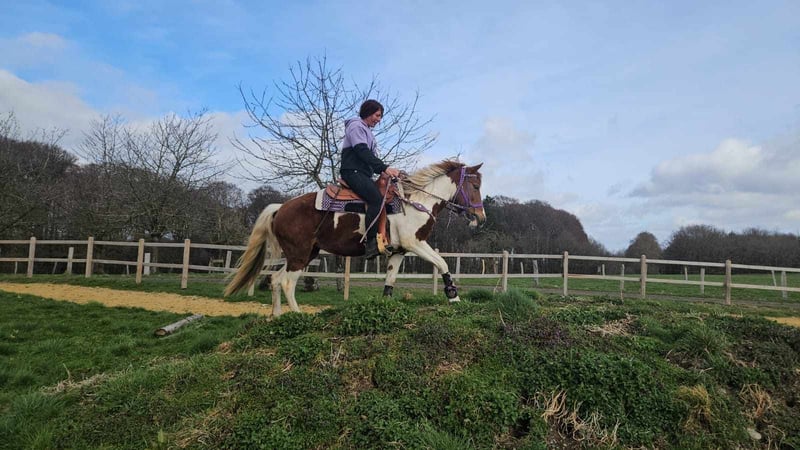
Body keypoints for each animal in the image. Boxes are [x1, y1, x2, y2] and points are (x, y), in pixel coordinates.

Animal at [224, 159, 486, 316]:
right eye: (475, 186)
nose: (480, 218)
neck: (416, 202)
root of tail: (280, 208)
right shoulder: (415, 244)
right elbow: (442, 263)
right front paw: (453, 297)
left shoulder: (399, 251)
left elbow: (390, 280)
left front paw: (385, 305)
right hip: (299, 255)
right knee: (287, 282)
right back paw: (298, 316)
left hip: (304, 254)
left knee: (276, 280)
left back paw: (278, 316)